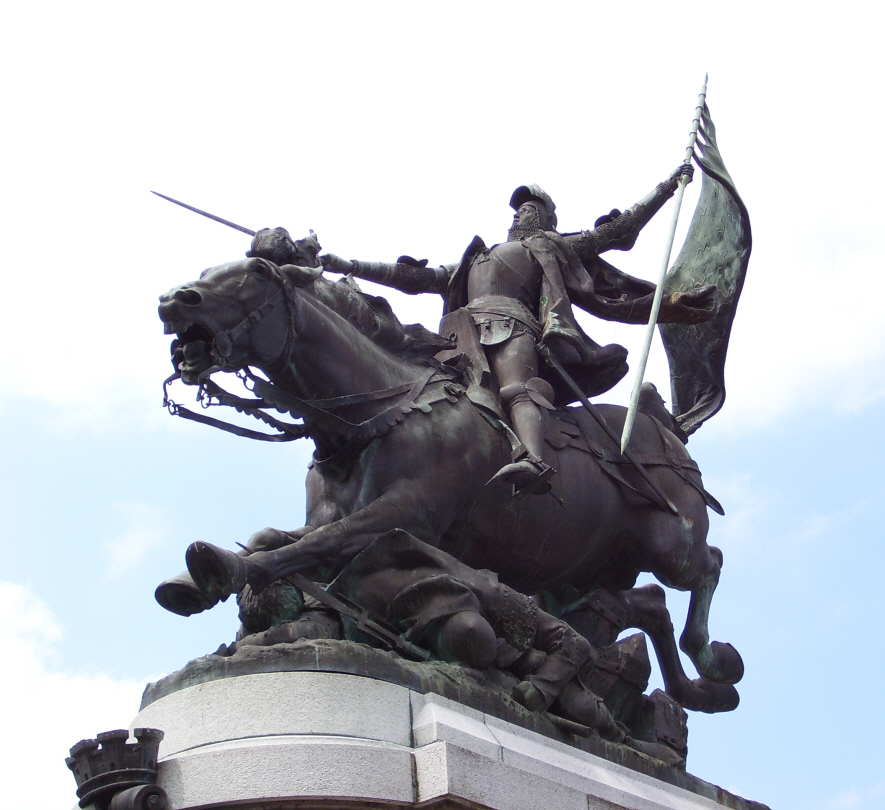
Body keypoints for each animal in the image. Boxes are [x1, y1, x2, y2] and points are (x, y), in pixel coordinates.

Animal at [155, 256, 744, 712]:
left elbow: (313, 545)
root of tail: (664, 428)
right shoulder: (339, 518)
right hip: (584, 570)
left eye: (254, 273)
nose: (175, 300)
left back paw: (709, 660)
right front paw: (201, 582)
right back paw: (687, 691)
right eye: (206, 273)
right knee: (644, 604)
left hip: (669, 545)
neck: (375, 414)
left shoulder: (405, 514)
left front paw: (223, 570)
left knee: (706, 566)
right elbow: (277, 539)